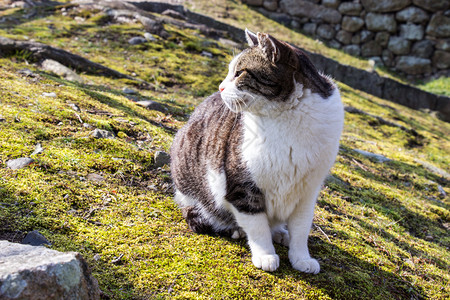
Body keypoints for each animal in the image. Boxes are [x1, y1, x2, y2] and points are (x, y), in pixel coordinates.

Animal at [170, 29, 344, 274]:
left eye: (239, 73)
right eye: (229, 72)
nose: (220, 87)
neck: (286, 115)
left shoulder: (308, 191)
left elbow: (301, 228)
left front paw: (301, 258)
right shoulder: (242, 186)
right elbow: (257, 225)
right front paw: (265, 255)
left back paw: (281, 233)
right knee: (200, 213)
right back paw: (236, 229)